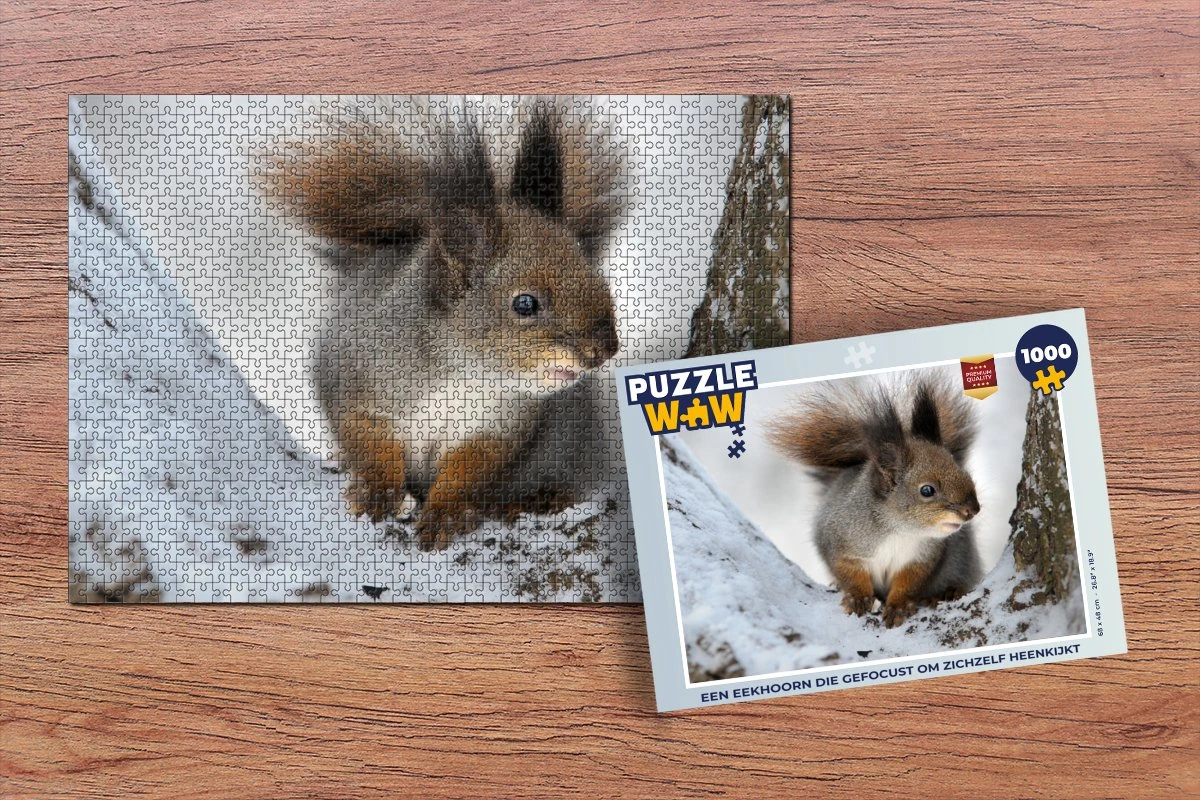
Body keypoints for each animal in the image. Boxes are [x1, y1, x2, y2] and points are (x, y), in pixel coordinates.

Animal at [265, 98, 628, 549]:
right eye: (525, 303)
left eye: (595, 273)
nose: (605, 349)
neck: (464, 374)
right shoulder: (355, 379)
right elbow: (368, 442)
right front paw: (376, 490)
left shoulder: (500, 430)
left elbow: (466, 474)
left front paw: (447, 513)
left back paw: (534, 500)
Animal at [770, 376, 982, 627]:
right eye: (927, 490)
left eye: (963, 472)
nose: (973, 510)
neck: (898, 530)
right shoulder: (839, 541)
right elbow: (849, 572)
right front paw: (857, 597)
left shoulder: (922, 558)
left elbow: (908, 583)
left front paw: (899, 605)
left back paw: (946, 592)